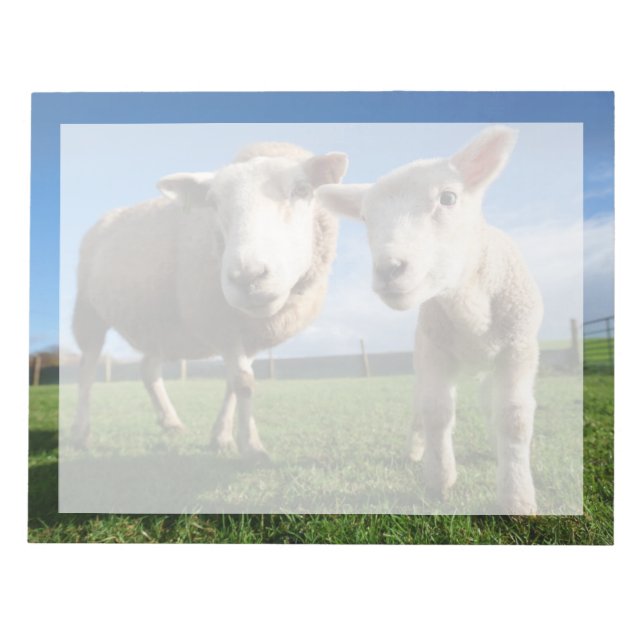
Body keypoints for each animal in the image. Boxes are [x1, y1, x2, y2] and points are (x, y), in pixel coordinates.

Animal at [71, 142, 348, 461]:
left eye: (302, 190)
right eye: (213, 202)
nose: (248, 277)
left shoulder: (250, 333)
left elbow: (234, 382)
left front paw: (222, 437)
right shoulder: (219, 322)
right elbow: (243, 383)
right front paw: (252, 447)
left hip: (160, 322)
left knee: (148, 369)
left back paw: (171, 422)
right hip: (89, 312)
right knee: (87, 369)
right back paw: (81, 433)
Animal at [316, 127, 543, 514]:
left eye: (449, 198)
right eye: (365, 218)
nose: (389, 269)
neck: (470, 308)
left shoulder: (519, 348)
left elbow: (513, 417)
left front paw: (517, 497)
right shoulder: (436, 351)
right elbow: (437, 412)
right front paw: (440, 480)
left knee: (490, 402)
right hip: (422, 357)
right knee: (420, 405)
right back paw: (415, 450)